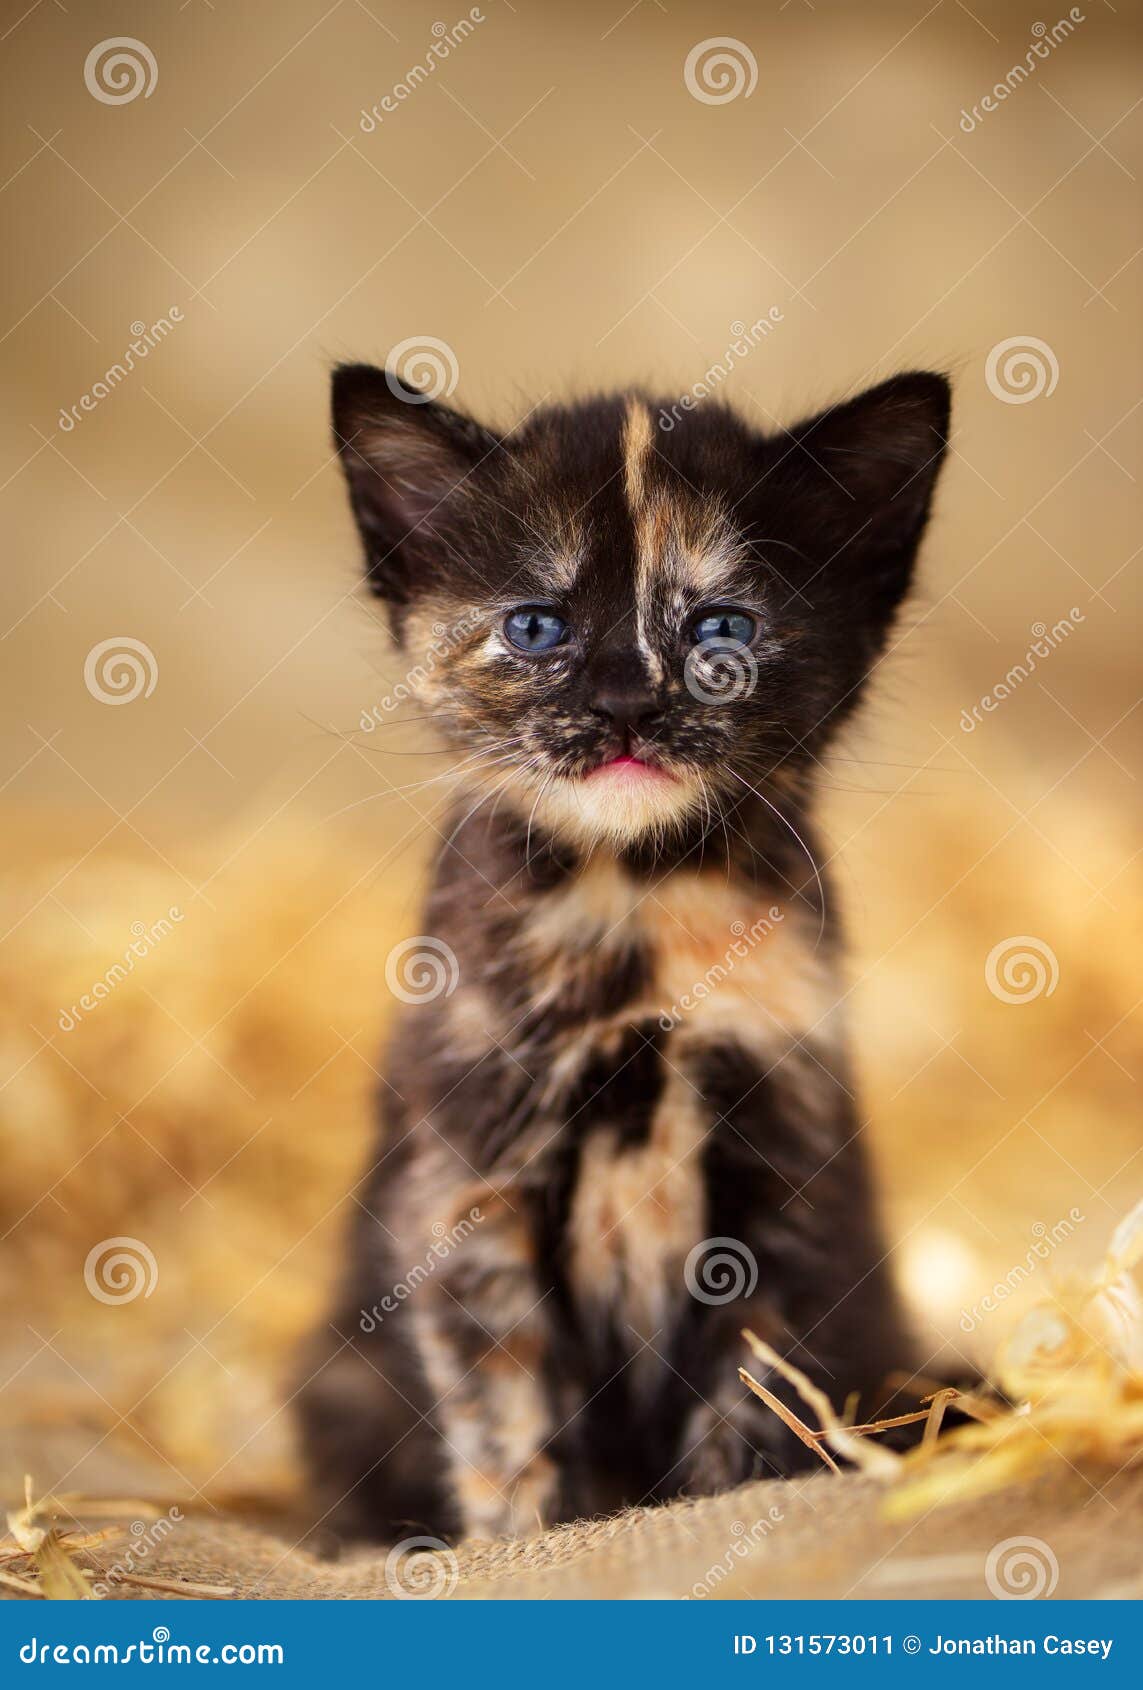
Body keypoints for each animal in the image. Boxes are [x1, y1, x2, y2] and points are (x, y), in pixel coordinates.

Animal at [299, 359, 953, 1548]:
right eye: (537, 626)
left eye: (722, 629)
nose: (626, 703)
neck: (636, 899)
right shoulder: (466, 1175)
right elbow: (503, 1398)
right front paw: (524, 1542)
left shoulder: (783, 1169)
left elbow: (755, 1387)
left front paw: (728, 1513)